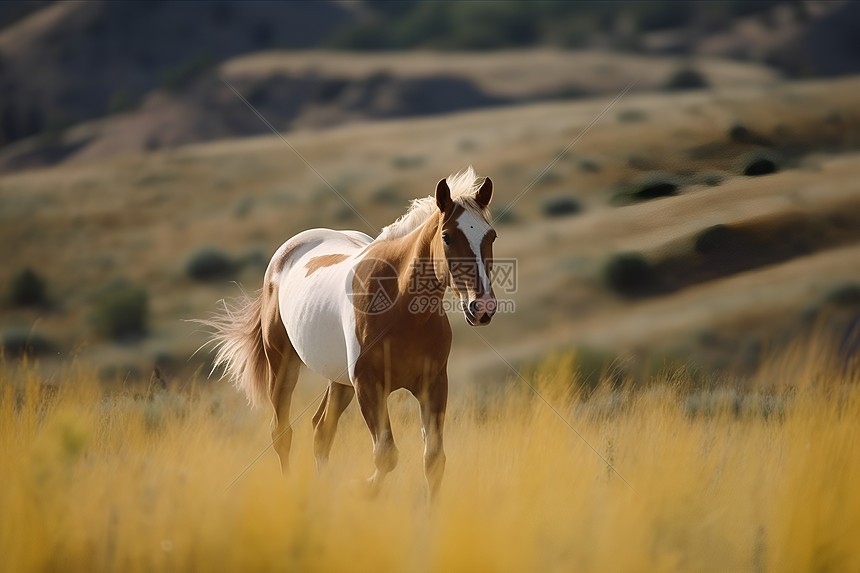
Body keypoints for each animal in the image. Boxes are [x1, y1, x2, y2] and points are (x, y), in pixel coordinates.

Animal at [203, 165, 498, 496]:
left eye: (491, 236)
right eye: (447, 236)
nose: (482, 307)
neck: (398, 305)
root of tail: (284, 255)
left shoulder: (432, 385)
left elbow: (433, 460)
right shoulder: (368, 386)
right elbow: (386, 455)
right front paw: (360, 489)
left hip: (339, 381)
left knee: (321, 431)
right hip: (283, 365)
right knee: (282, 432)